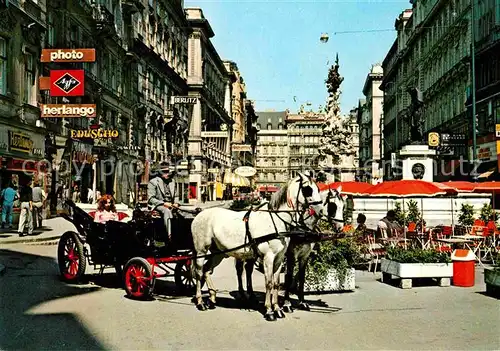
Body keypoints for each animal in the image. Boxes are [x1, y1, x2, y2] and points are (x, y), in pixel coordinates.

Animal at [189, 172, 322, 324]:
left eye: (318, 188)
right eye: (307, 189)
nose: (320, 211)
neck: (275, 221)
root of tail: (199, 214)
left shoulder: (279, 258)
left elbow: (276, 284)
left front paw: (278, 309)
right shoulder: (268, 258)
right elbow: (268, 283)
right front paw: (269, 311)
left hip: (218, 253)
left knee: (207, 271)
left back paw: (212, 298)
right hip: (201, 251)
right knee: (199, 273)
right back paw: (200, 302)